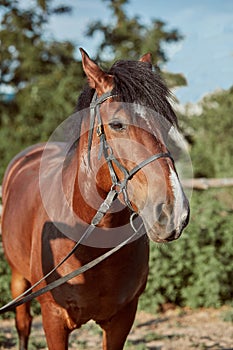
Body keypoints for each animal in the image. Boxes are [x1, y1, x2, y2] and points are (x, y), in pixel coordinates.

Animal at [1, 47, 189, 348]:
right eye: (117, 124)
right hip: (18, 280)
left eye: (166, 125)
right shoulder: (54, 320)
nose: (174, 213)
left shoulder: (122, 320)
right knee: (23, 325)